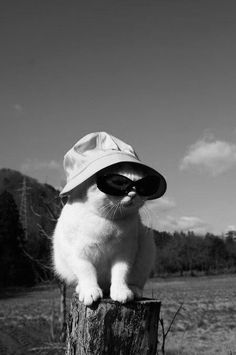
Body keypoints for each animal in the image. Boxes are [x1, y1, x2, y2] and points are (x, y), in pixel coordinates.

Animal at [52, 163, 156, 306]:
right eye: (118, 183)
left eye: (141, 186)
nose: (133, 194)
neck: (109, 220)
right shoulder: (78, 254)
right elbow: (87, 272)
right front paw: (90, 292)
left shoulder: (125, 254)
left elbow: (120, 274)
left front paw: (121, 292)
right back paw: (81, 289)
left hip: (146, 249)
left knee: (134, 282)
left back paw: (133, 291)